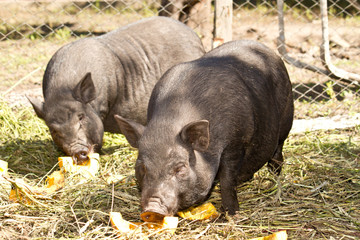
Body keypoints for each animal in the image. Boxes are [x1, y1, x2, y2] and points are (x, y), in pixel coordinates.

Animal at [114, 39, 294, 216]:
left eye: (180, 168)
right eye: (143, 167)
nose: (153, 209)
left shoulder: (236, 142)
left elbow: (227, 180)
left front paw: (231, 214)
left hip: (286, 117)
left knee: (278, 148)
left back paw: (275, 174)